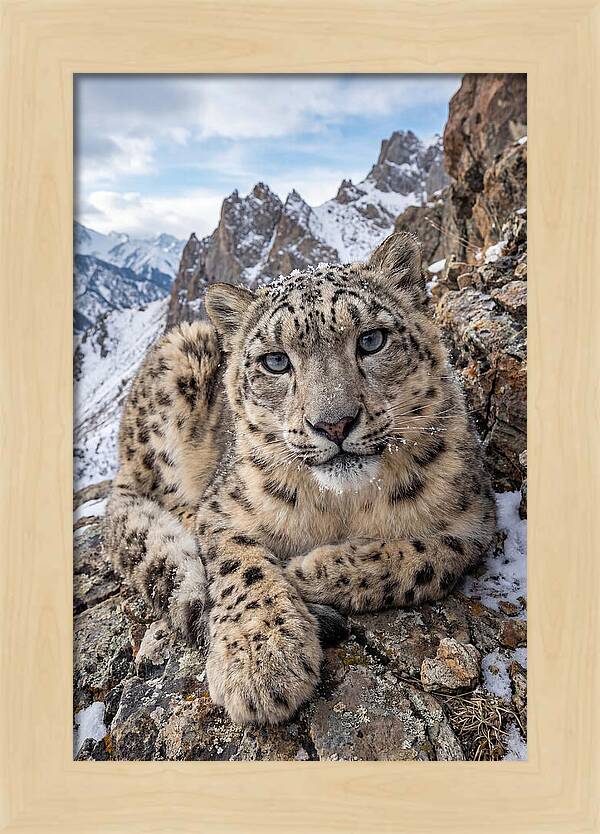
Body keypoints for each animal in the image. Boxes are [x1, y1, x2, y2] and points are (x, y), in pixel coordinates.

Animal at [105, 232, 496, 726]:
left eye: (372, 340)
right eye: (276, 361)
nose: (334, 423)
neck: (343, 505)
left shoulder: (475, 519)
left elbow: (427, 558)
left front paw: (308, 571)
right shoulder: (222, 509)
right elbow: (242, 566)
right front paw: (261, 661)